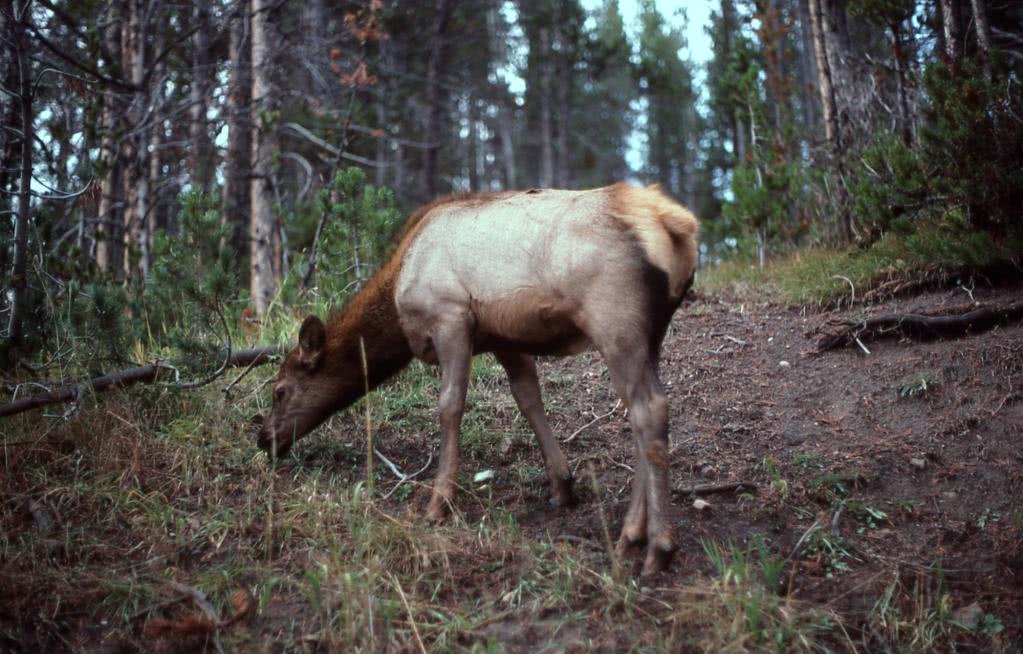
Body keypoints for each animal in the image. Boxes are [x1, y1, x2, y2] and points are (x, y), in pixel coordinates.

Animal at [259, 183, 699, 573]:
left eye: (280, 390)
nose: (263, 439)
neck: (399, 296)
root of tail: (677, 227)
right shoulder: (505, 338)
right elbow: (528, 398)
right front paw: (561, 485)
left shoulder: (450, 317)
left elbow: (450, 405)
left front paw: (438, 503)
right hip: (651, 332)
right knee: (641, 415)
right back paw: (633, 536)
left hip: (614, 321)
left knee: (649, 410)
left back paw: (657, 547)